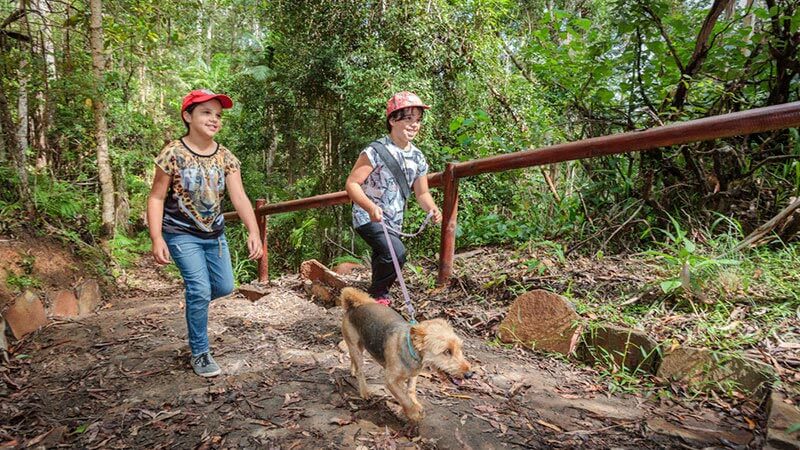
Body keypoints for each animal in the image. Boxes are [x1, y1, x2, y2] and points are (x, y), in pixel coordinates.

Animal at [340, 288, 476, 422]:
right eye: (447, 351)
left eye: (460, 348)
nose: (469, 374)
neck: (413, 352)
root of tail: (355, 305)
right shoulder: (390, 380)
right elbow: (403, 397)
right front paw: (413, 412)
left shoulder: (413, 375)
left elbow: (410, 391)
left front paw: (415, 404)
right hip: (355, 347)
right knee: (360, 371)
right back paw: (364, 391)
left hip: (360, 346)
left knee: (353, 360)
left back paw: (353, 371)